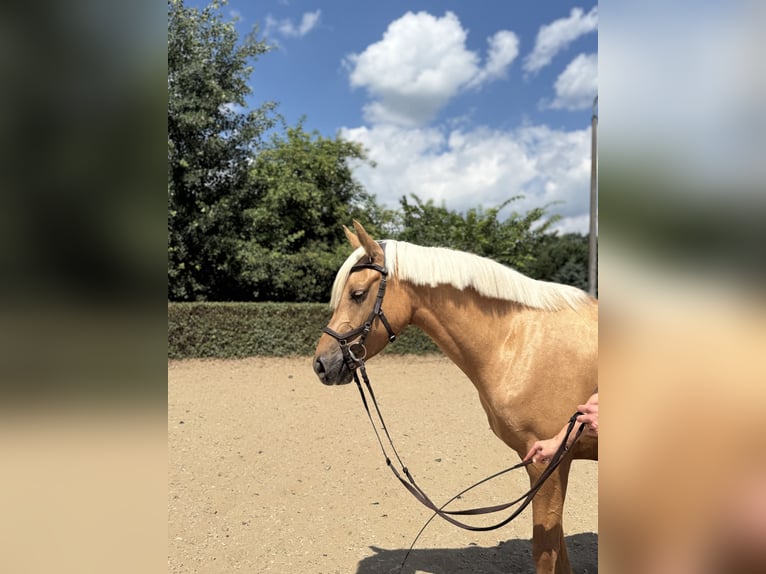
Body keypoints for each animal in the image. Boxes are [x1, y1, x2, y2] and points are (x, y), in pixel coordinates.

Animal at [313, 220, 598, 574]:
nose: (321, 364)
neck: (518, 341)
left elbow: (546, 552)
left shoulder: (548, 464)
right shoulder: (550, 466)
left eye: (358, 294)